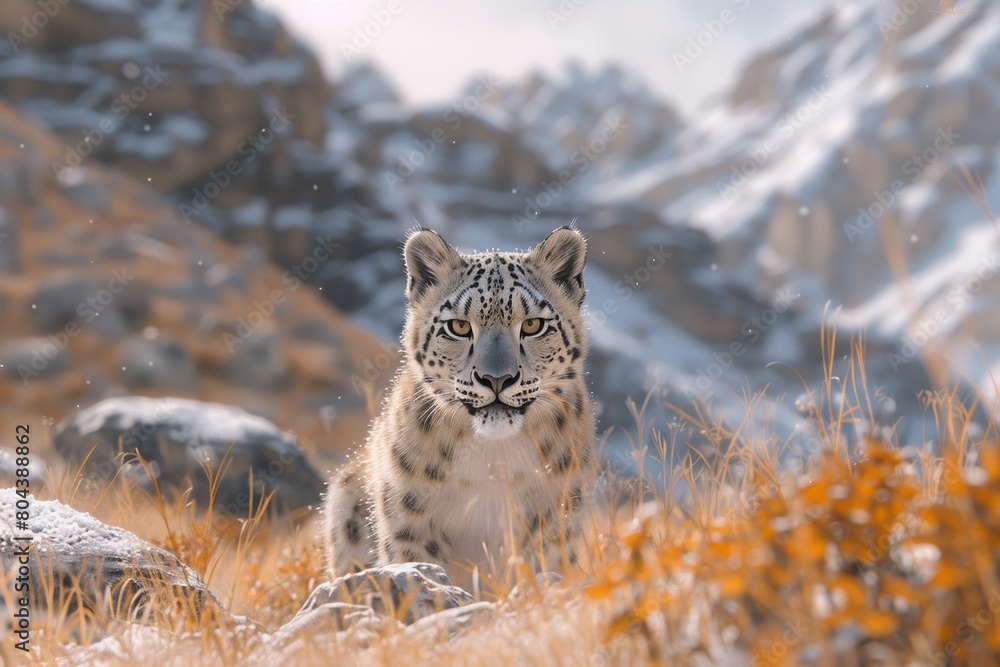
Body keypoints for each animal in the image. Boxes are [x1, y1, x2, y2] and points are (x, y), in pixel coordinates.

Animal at [323, 226, 596, 592]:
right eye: (460, 327)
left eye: (533, 325)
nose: (497, 378)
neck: (493, 459)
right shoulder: (410, 518)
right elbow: (426, 569)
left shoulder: (557, 515)